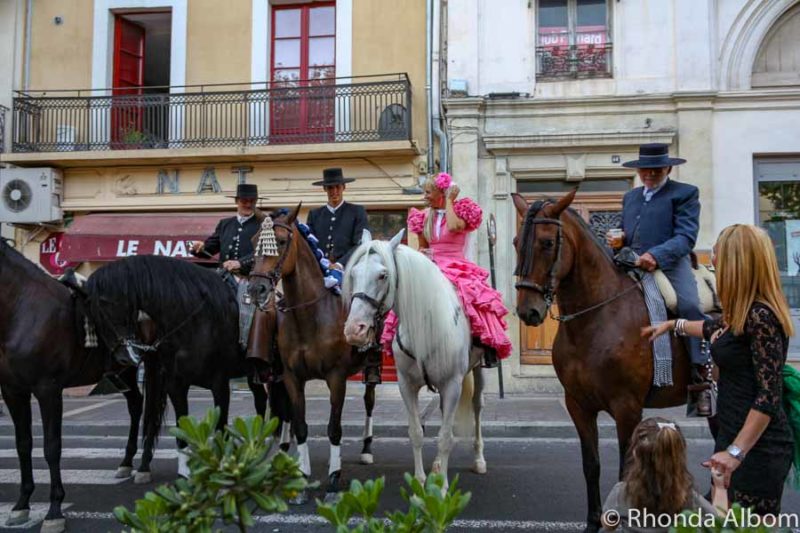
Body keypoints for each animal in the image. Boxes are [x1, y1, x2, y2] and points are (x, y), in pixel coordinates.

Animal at [86, 256, 268, 480]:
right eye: (93, 314)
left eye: (106, 304)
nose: (122, 357)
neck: (193, 319)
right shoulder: (174, 384)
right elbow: (180, 425)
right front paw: (183, 473)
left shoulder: (219, 384)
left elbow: (221, 427)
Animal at [247, 206, 378, 500]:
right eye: (255, 243)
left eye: (280, 242)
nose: (256, 289)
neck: (310, 316)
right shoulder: (292, 377)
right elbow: (301, 425)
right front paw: (303, 478)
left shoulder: (337, 377)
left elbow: (334, 428)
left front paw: (333, 479)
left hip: (371, 368)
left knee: (369, 401)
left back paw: (367, 448)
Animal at [340, 229, 484, 486]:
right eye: (353, 273)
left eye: (383, 275)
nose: (354, 330)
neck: (425, 325)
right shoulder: (406, 385)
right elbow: (416, 432)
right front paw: (420, 481)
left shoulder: (452, 384)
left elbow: (445, 437)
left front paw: (442, 488)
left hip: (478, 370)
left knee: (477, 406)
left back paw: (478, 459)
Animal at [512, 189, 712, 528]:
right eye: (515, 242)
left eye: (548, 243)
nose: (528, 311)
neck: (596, 318)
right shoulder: (578, 405)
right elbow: (591, 465)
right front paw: (594, 521)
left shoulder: (627, 408)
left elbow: (624, 470)